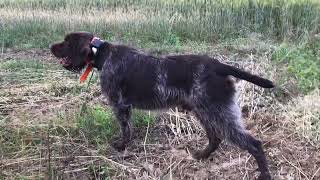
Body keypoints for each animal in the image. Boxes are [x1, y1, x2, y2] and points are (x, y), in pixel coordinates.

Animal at [51, 31, 274, 179]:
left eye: (66, 41)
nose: (50, 47)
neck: (103, 54)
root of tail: (219, 66)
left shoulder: (120, 105)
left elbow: (125, 130)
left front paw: (121, 147)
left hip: (218, 113)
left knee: (254, 144)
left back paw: (264, 174)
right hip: (205, 111)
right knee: (215, 138)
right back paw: (201, 155)